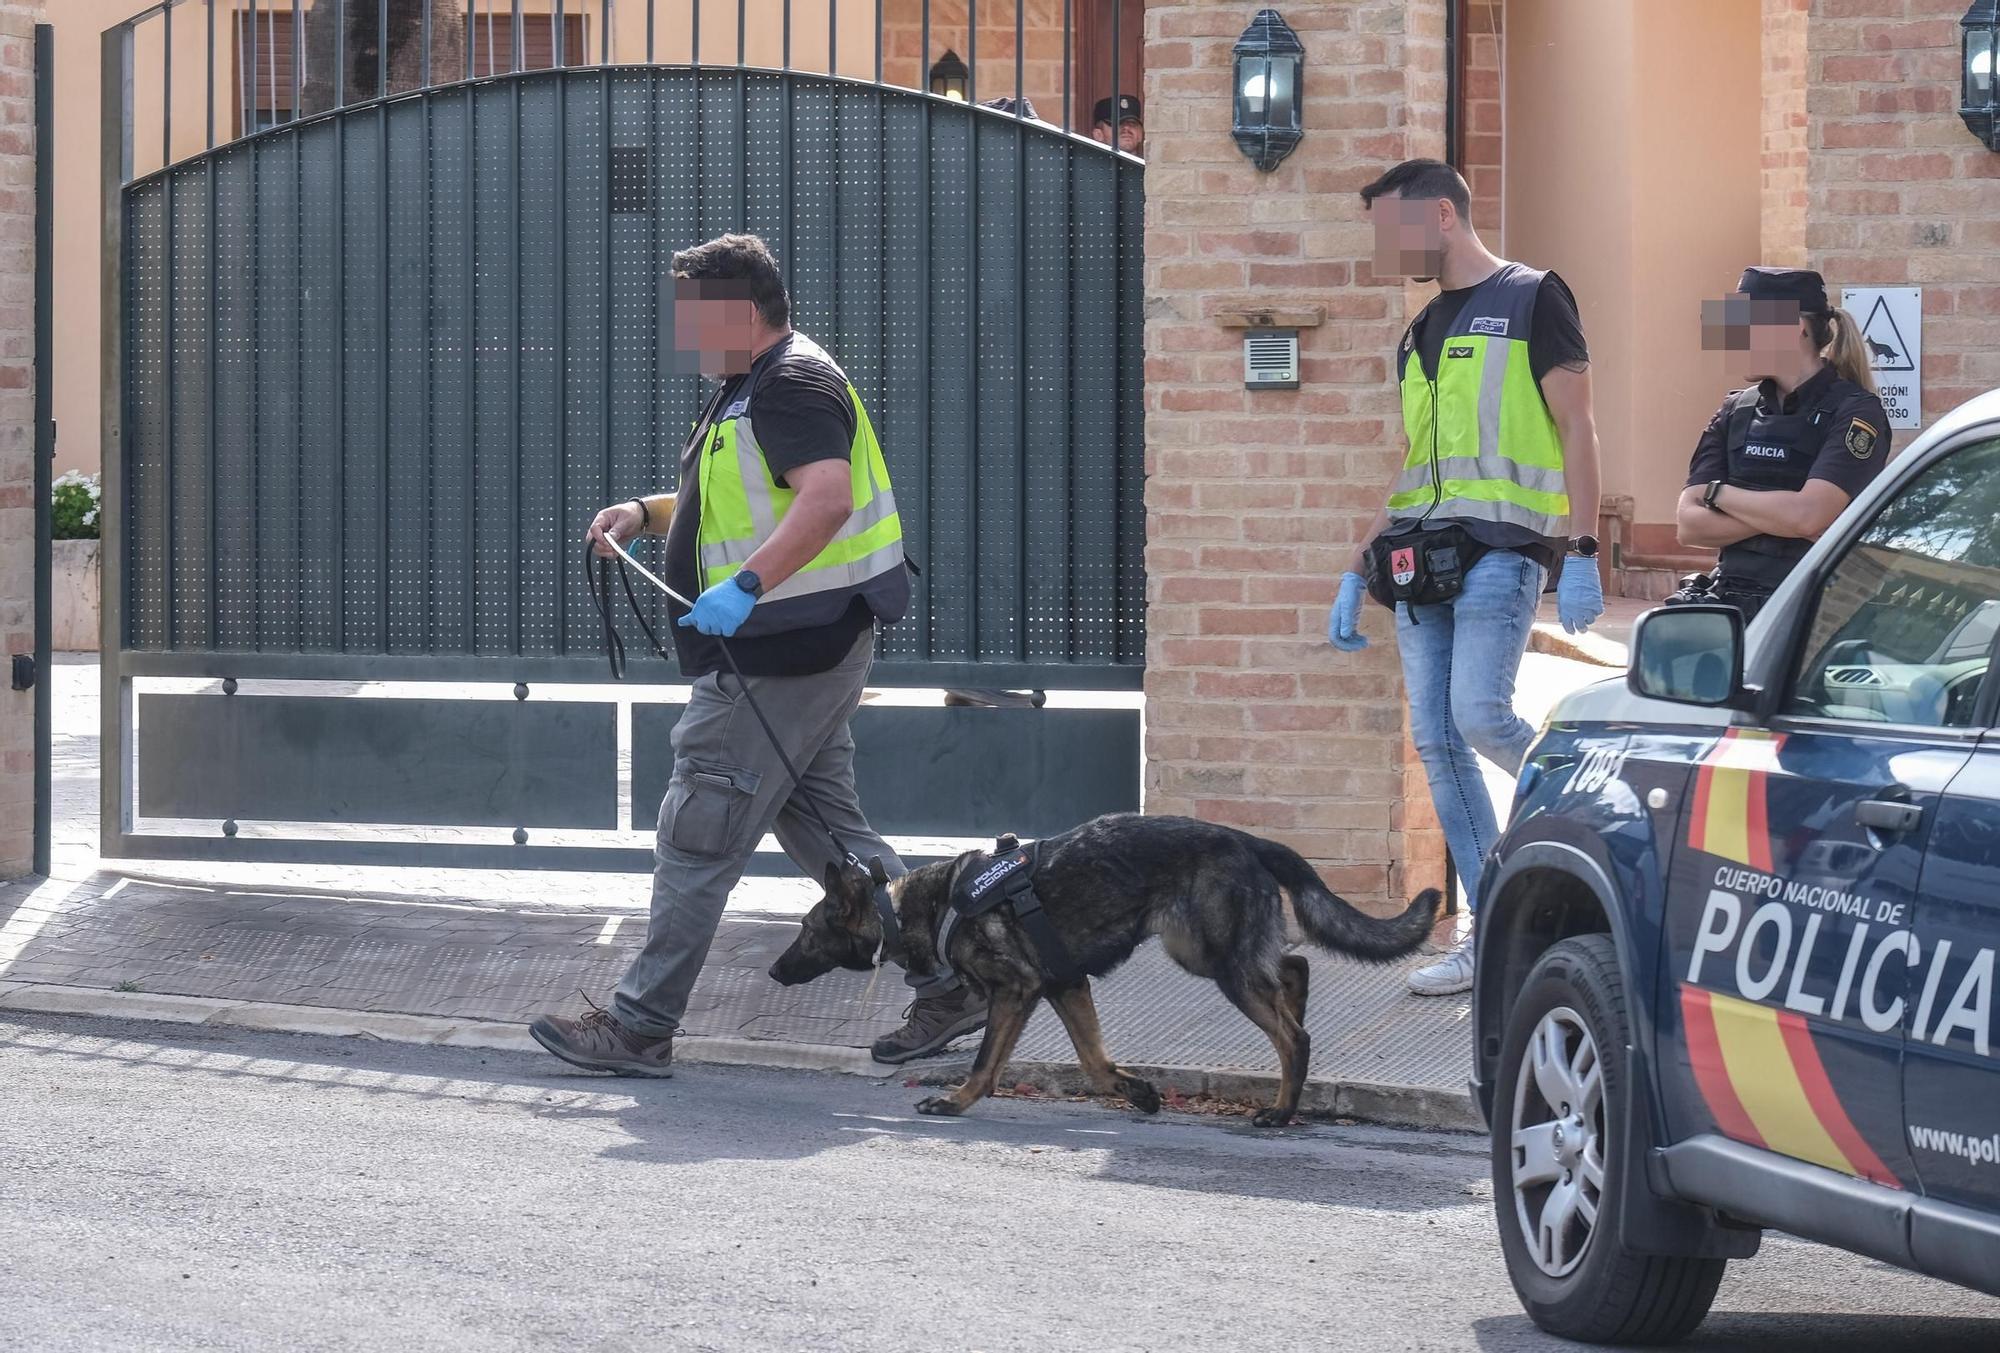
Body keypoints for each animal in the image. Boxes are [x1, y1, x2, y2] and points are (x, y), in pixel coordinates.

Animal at [764, 820, 1440, 1128]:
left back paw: (1280, 1110)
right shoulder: (1066, 986)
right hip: (1209, 954)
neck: (912, 908)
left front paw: (955, 1102)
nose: (774, 970)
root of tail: (1242, 838)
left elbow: (984, 1065)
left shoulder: (1018, 991)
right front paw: (1137, 1092)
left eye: (806, 930)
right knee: (1293, 969)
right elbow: (1093, 1061)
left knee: (1293, 1033)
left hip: (1213, 960)